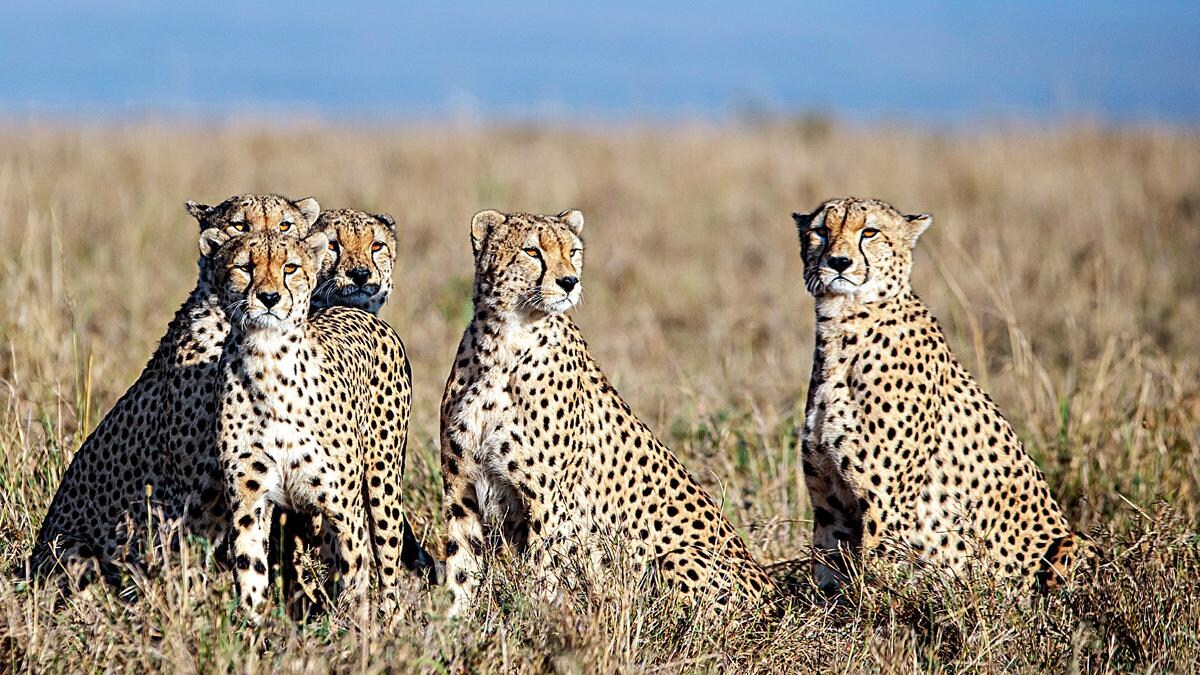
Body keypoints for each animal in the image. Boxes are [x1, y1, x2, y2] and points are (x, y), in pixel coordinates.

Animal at [208, 229, 422, 617]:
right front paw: (252, 627)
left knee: (387, 564)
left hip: (382, 484)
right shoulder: (248, 504)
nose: (269, 297)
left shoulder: (344, 508)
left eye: (290, 267)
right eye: (245, 267)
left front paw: (357, 629)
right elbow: (250, 572)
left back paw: (389, 619)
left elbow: (355, 575)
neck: (268, 360)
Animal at [440, 208, 776, 617]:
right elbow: (461, 567)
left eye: (572, 251)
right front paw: (453, 625)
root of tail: (777, 596)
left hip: (677, 558)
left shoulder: (551, 502)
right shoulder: (462, 488)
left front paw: (538, 622)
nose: (569, 281)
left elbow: (542, 574)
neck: (505, 341)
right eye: (532, 251)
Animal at [793, 196, 1084, 594]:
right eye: (821, 230)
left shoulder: (886, 507)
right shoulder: (830, 505)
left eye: (869, 232)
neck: (842, 327)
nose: (838, 262)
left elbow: (876, 585)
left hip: (1072, 544)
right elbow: (829, 577)